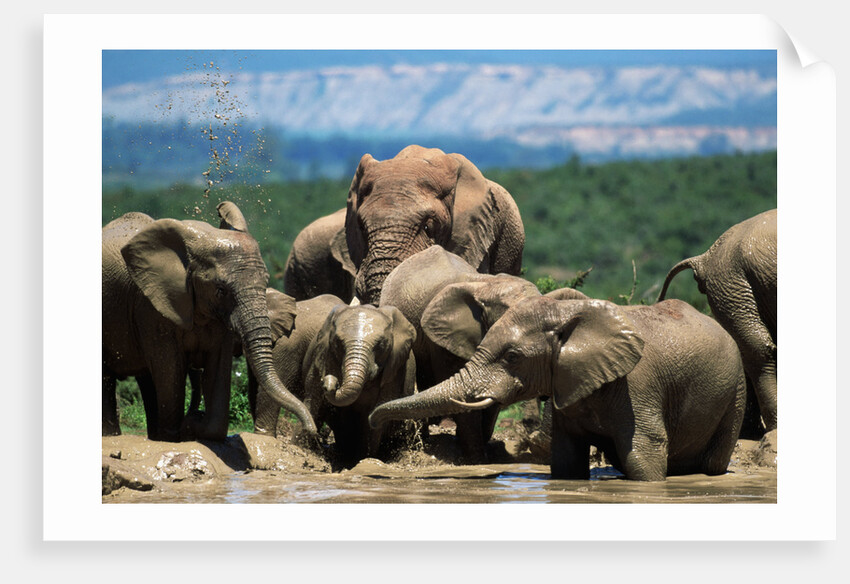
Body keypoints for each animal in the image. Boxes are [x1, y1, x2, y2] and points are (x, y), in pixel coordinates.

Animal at [102, 201, 316, 442]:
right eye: (221, 290)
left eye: (266, 283)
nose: (312, 430)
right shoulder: (151, 306)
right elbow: (170, 369)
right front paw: (178, 434)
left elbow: (218, 369)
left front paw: (193, 425)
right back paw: (114, 436)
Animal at [250, 294, 417, 469]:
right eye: (337, 343)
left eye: (381, 345)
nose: (331, 380)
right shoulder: (322, 357)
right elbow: (313, 403)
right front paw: (300, 449)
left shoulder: (396, 370)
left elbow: (375, 415)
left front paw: (362, 460)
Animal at [369, 297, 747, 481]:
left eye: (512, 357)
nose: (373, 418)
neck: (568, 313)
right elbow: (566, 461)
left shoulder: (639, 385)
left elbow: (643, 456)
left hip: (737, 389)